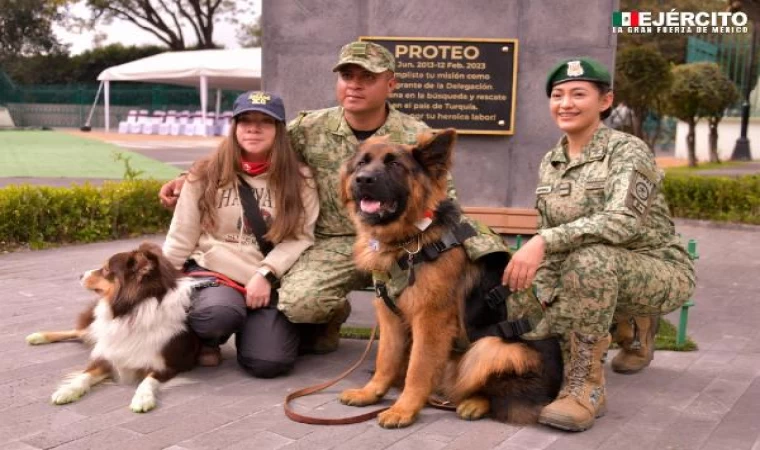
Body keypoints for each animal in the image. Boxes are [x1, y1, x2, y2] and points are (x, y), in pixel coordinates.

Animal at [25, 243, 200, 412]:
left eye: (106, 269)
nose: (80, 275)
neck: (134, 311)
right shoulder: (106, 355)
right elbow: (84, 376)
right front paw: (67, 390)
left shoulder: (170, 364)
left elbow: (147, 380)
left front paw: (142, 399)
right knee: (78, 331)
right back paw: (38, 336)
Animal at [338, 128, 564, 428]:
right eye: (362, 163)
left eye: (395, 164)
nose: (363, 179)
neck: (413, 237)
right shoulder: (390, 318)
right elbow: (384, 359)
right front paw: (372, 393)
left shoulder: (431, 320)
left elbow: (418, 369)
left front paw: (404, 409)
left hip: (491, 349)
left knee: (492, 392)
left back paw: (473, 404)